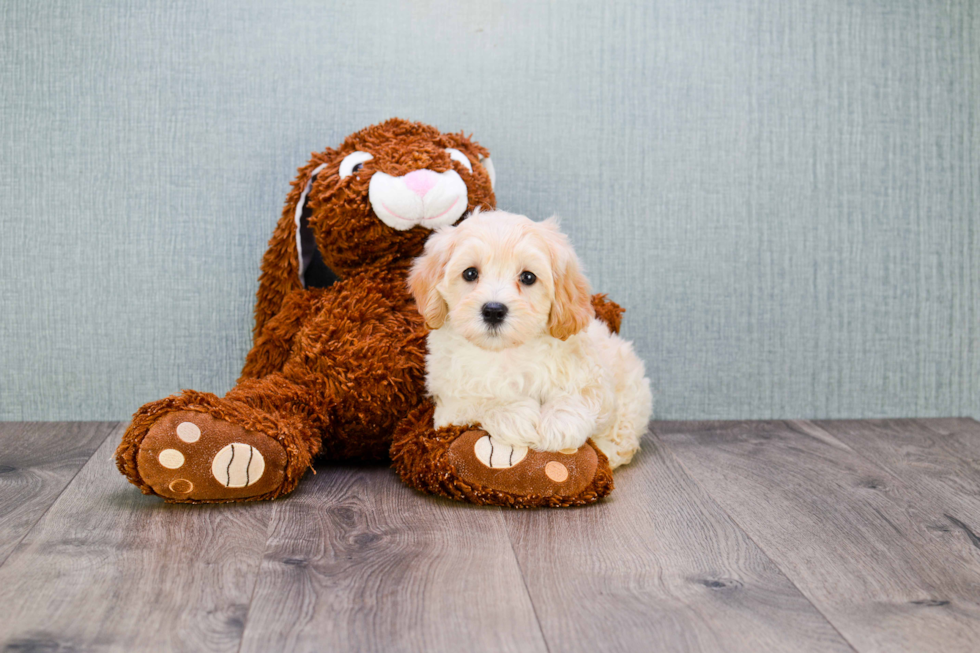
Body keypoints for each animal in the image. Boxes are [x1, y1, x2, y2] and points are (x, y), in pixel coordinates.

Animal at [410, 210, 656, 468]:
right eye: (470, 273)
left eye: (528, 277)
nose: (493, 311)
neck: (505, 352)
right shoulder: (448, 403)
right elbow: (477, 400)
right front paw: (513, 414)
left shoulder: (593, 376)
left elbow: (579, 396)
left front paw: (558, 423)